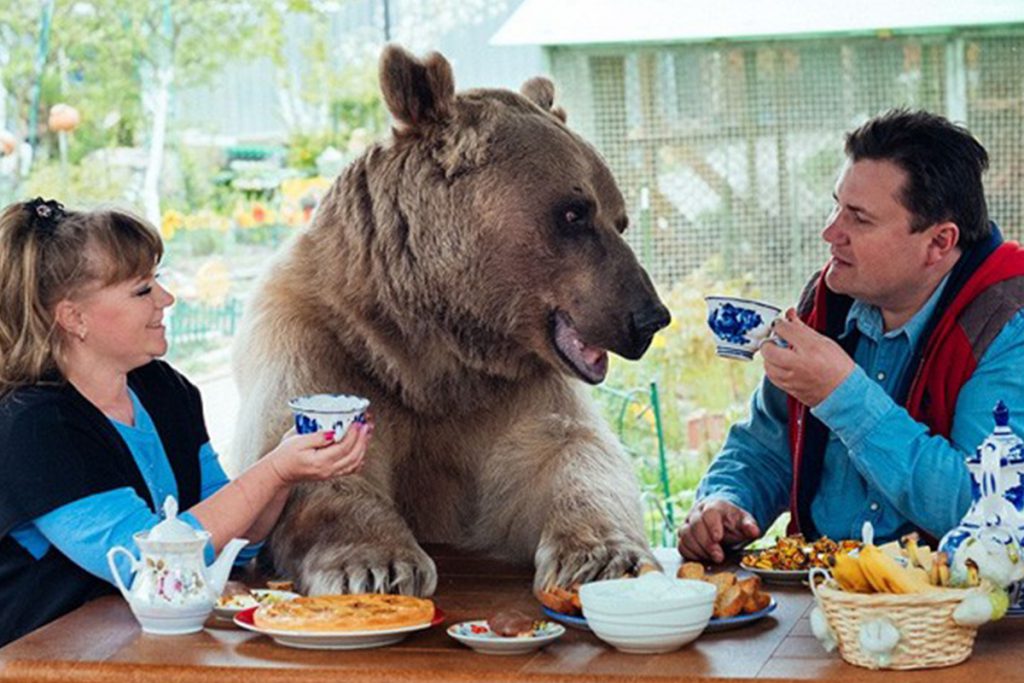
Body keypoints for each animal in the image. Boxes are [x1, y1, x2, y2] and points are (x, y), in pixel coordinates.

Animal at [230, 45, 671, 598]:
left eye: (619, 219)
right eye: (574, 213)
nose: (649, 317)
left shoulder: (511, 392)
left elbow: (569, 455)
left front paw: (605, 557)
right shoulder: (321, 341)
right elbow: (311, 461)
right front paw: (377, 565)